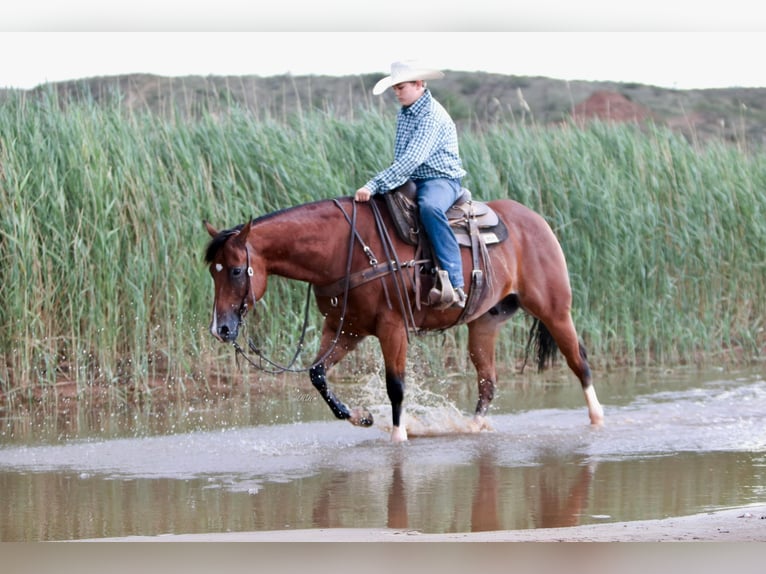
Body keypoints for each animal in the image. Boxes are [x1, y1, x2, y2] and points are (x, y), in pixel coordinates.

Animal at [204, 190, 608, 446]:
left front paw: (398, 435)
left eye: (237, 270)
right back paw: (471, 427)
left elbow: (396, 385)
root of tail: (537, 221)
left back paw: (597, 420)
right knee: (487, 382)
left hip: (555, 310)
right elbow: (317, 374)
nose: (220, 328)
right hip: (485, 323)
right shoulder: (345, 329)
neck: (344, 249)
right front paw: (361, 416)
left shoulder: (391, 327)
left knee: (579, 361)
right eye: (213, 271)